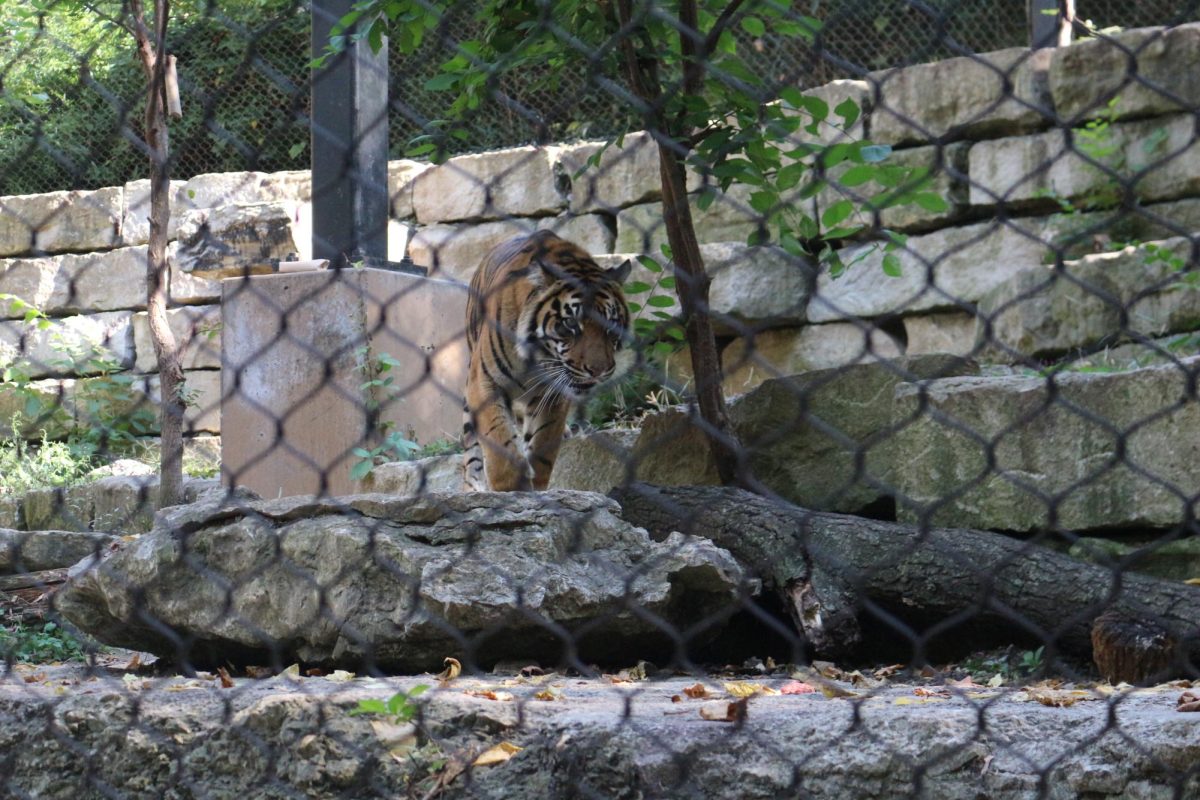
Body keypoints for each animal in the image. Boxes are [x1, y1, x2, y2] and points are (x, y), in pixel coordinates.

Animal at [460, 230, 633, 494]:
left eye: (610, 324)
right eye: (571, 323)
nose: (598, 370)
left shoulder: (553, 394)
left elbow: (543, 445)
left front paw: (536, 487)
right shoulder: (484, 382)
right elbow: (498, 441)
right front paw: (511, 489)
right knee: (471, 447)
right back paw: (473, 486)